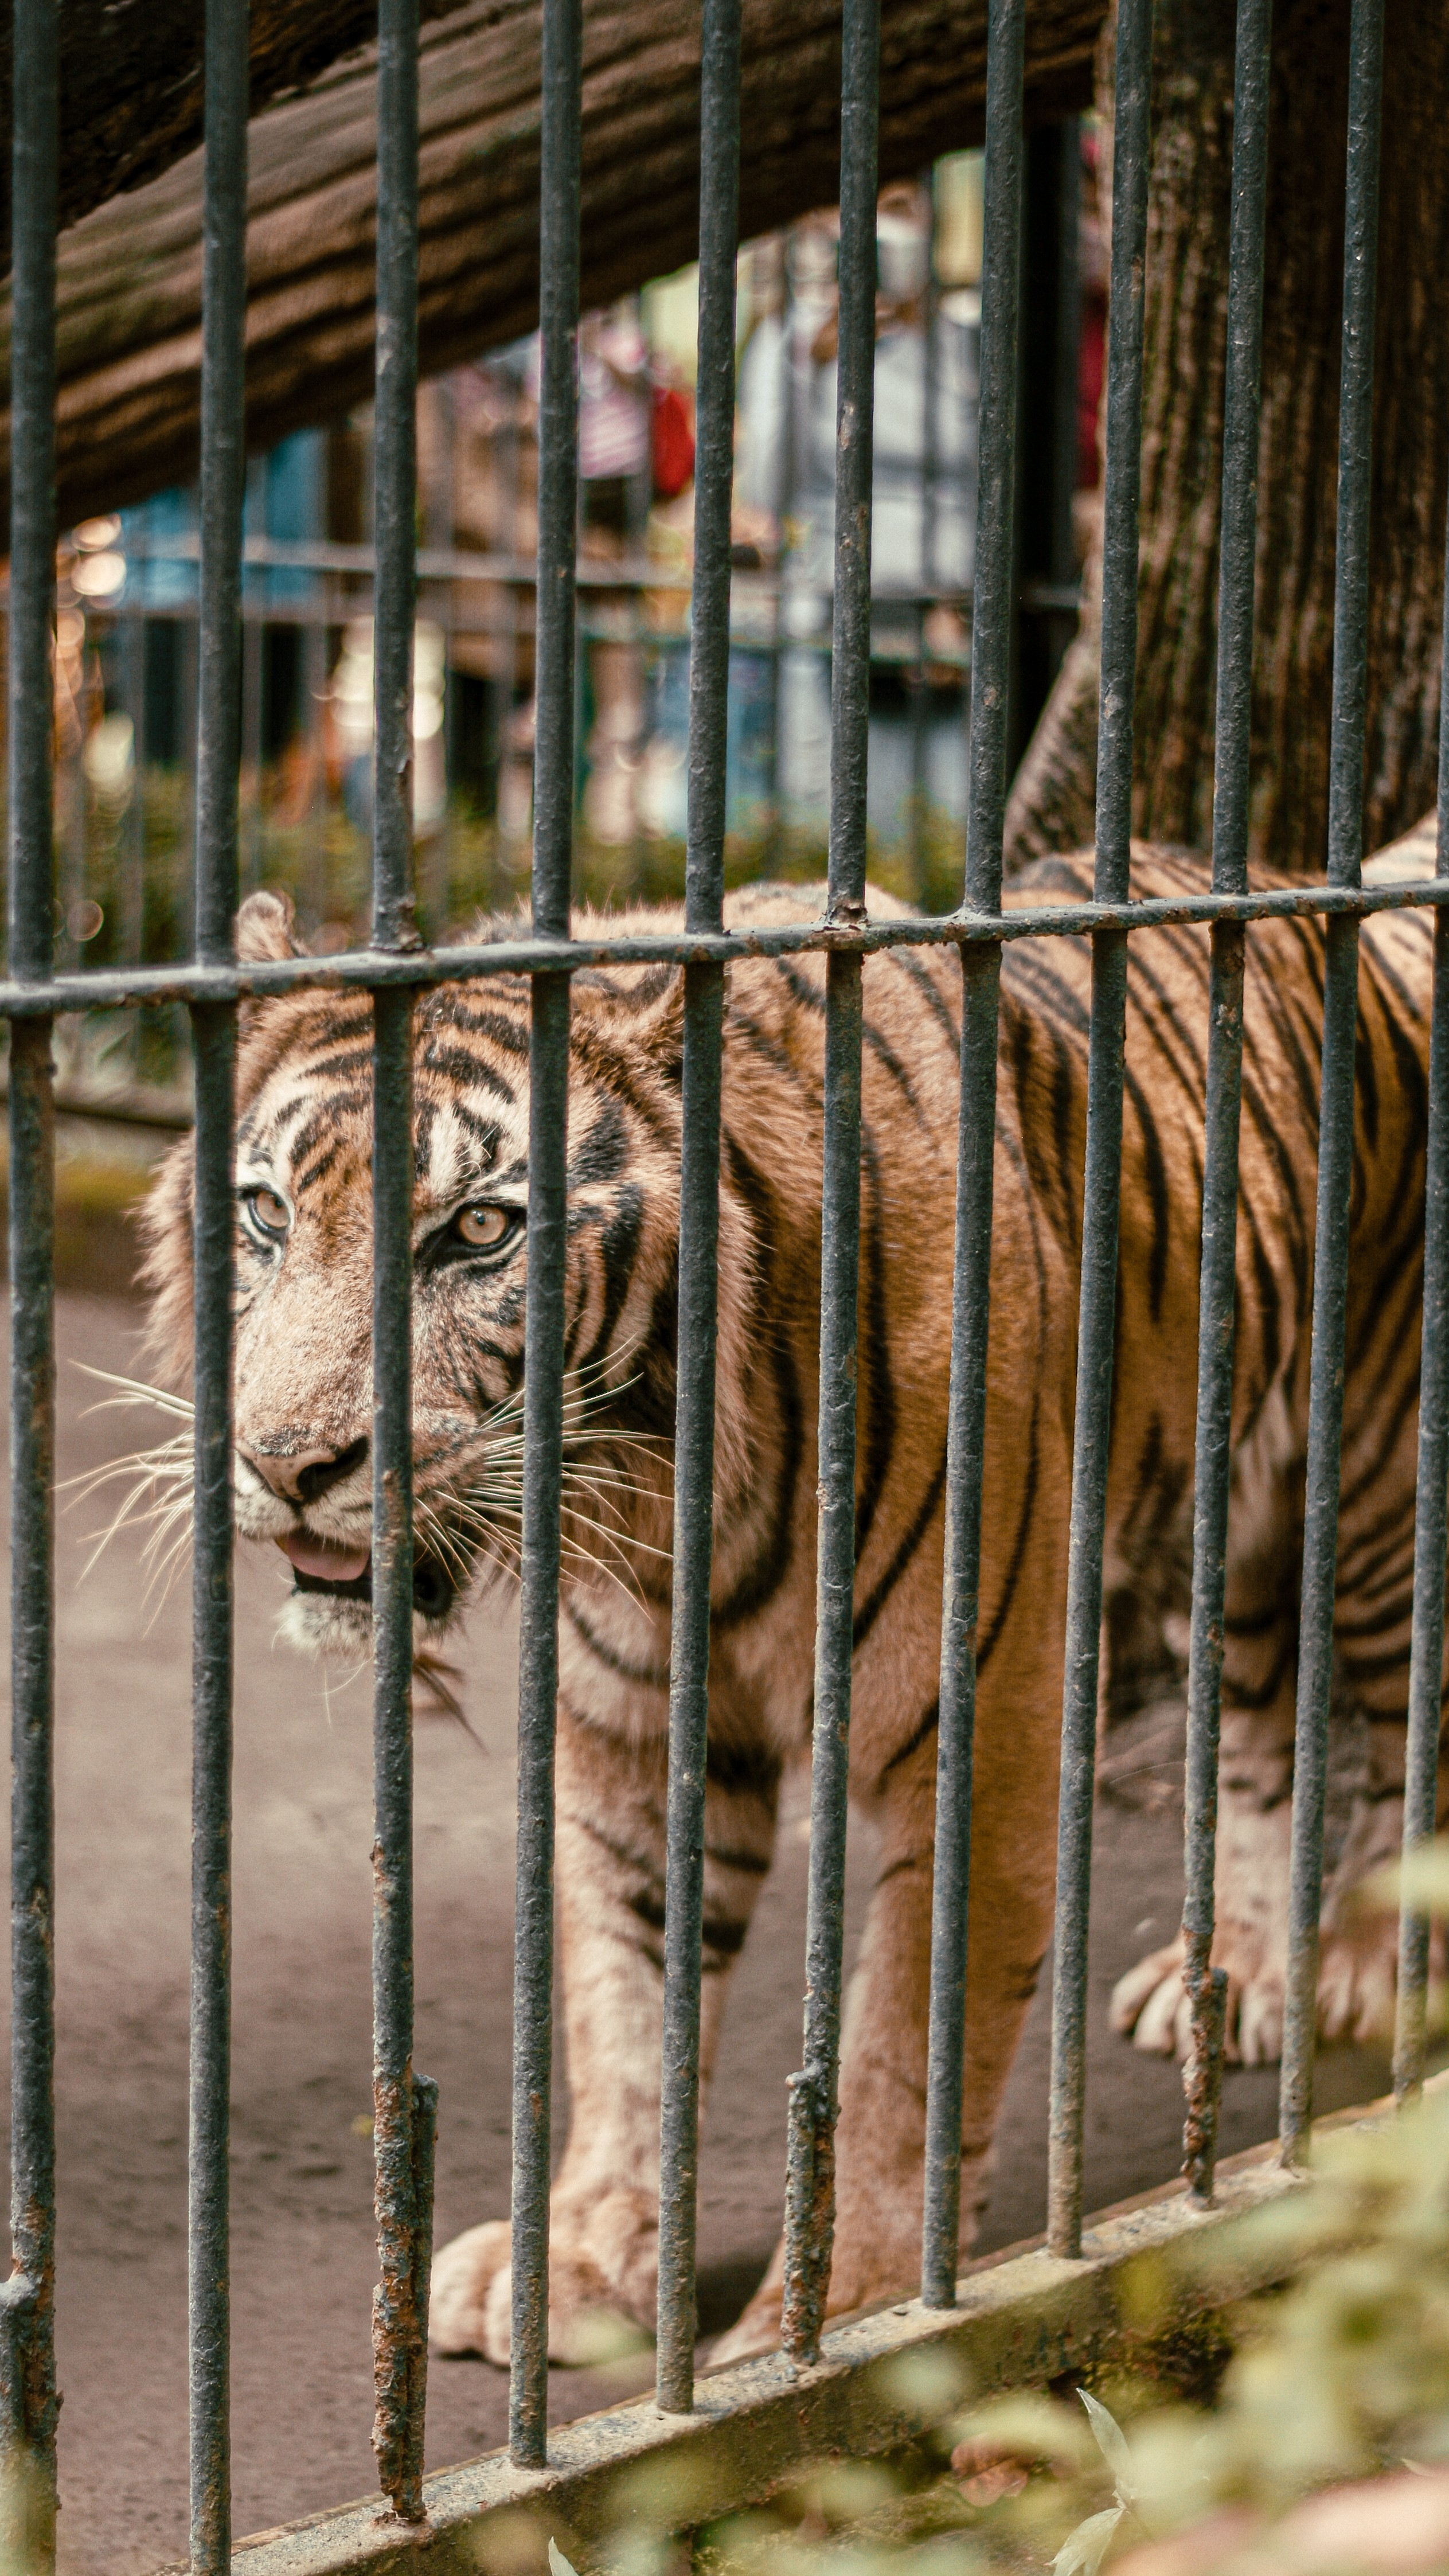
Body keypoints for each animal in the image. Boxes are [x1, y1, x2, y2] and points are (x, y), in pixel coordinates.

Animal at [138, 830, 1444, 2368]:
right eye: (266, 1214)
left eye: (479, 1230)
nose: (286, 1463)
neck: (667, 1487)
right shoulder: (632, 1734)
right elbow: (623, 2009)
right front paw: (580, 2253)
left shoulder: (980, 1741)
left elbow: (894, 2055)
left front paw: (848, 2314)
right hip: (1226, 1545)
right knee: (1259, 1737)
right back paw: (1232, 1972)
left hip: (1373, 1503)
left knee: (1402, 1722)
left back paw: (1361, 1967)